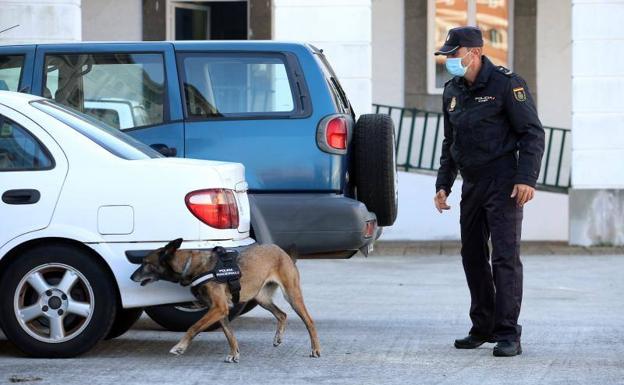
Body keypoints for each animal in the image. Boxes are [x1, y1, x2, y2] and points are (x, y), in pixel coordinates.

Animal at [129, 238, 320, 362]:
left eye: (146, 262)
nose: (131, 277)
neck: (189, 264)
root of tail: (281, 251)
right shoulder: (219, 310)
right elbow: (229, 334)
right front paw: (235, 353)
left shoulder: (219, 308)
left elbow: (194, 327)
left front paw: (180, 346)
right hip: (261, 298)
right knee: (282, 314)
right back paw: (278, 337)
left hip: (292, 296)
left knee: (309, 321)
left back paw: (315, 349)